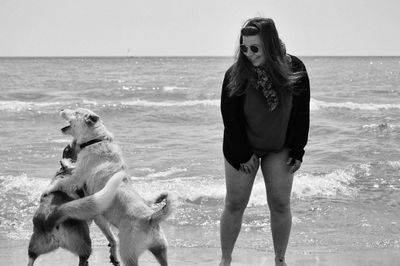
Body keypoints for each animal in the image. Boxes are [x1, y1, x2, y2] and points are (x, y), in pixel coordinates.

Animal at [43, 108, 174, 266]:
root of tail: (151, 218)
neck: (96, 140)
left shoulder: (78, 177)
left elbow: (61, 182)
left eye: (76, 112)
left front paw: (47, 190)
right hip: (160, 249)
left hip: (129, 253)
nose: (62, 109)